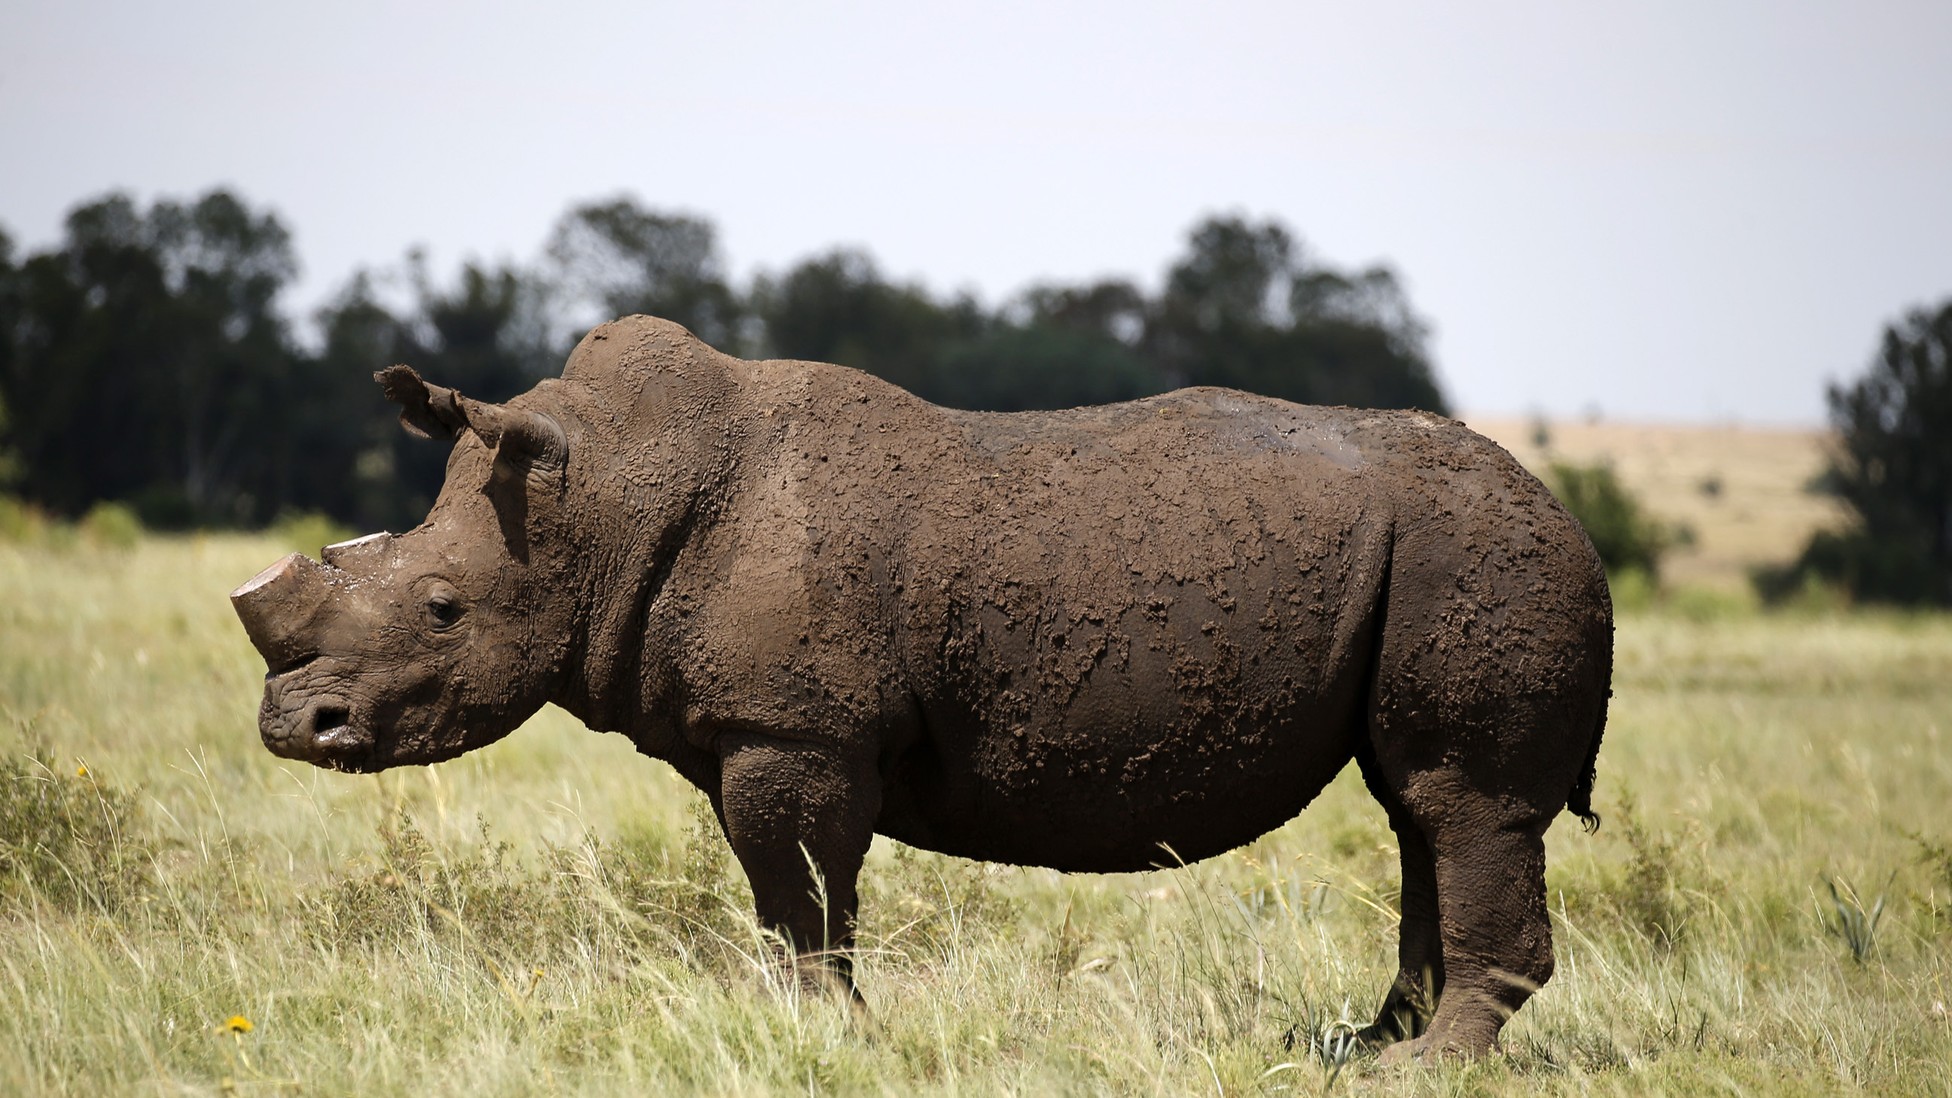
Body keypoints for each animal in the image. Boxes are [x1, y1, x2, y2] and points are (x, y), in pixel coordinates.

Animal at [232, 315, 1611, 1061]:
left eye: (442, 610)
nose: (295, 726)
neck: (605, 501)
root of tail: (1567, 514)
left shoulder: (793, 729)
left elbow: (799, 892)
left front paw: (819, 1034)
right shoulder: (770, 728)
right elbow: (789, 898)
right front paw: (812, 1028)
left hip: (1477, 554)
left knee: (1460, 802)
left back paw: (1418, 1068)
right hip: (1447, 557)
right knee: (1416, 809)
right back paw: (1355, 1049)